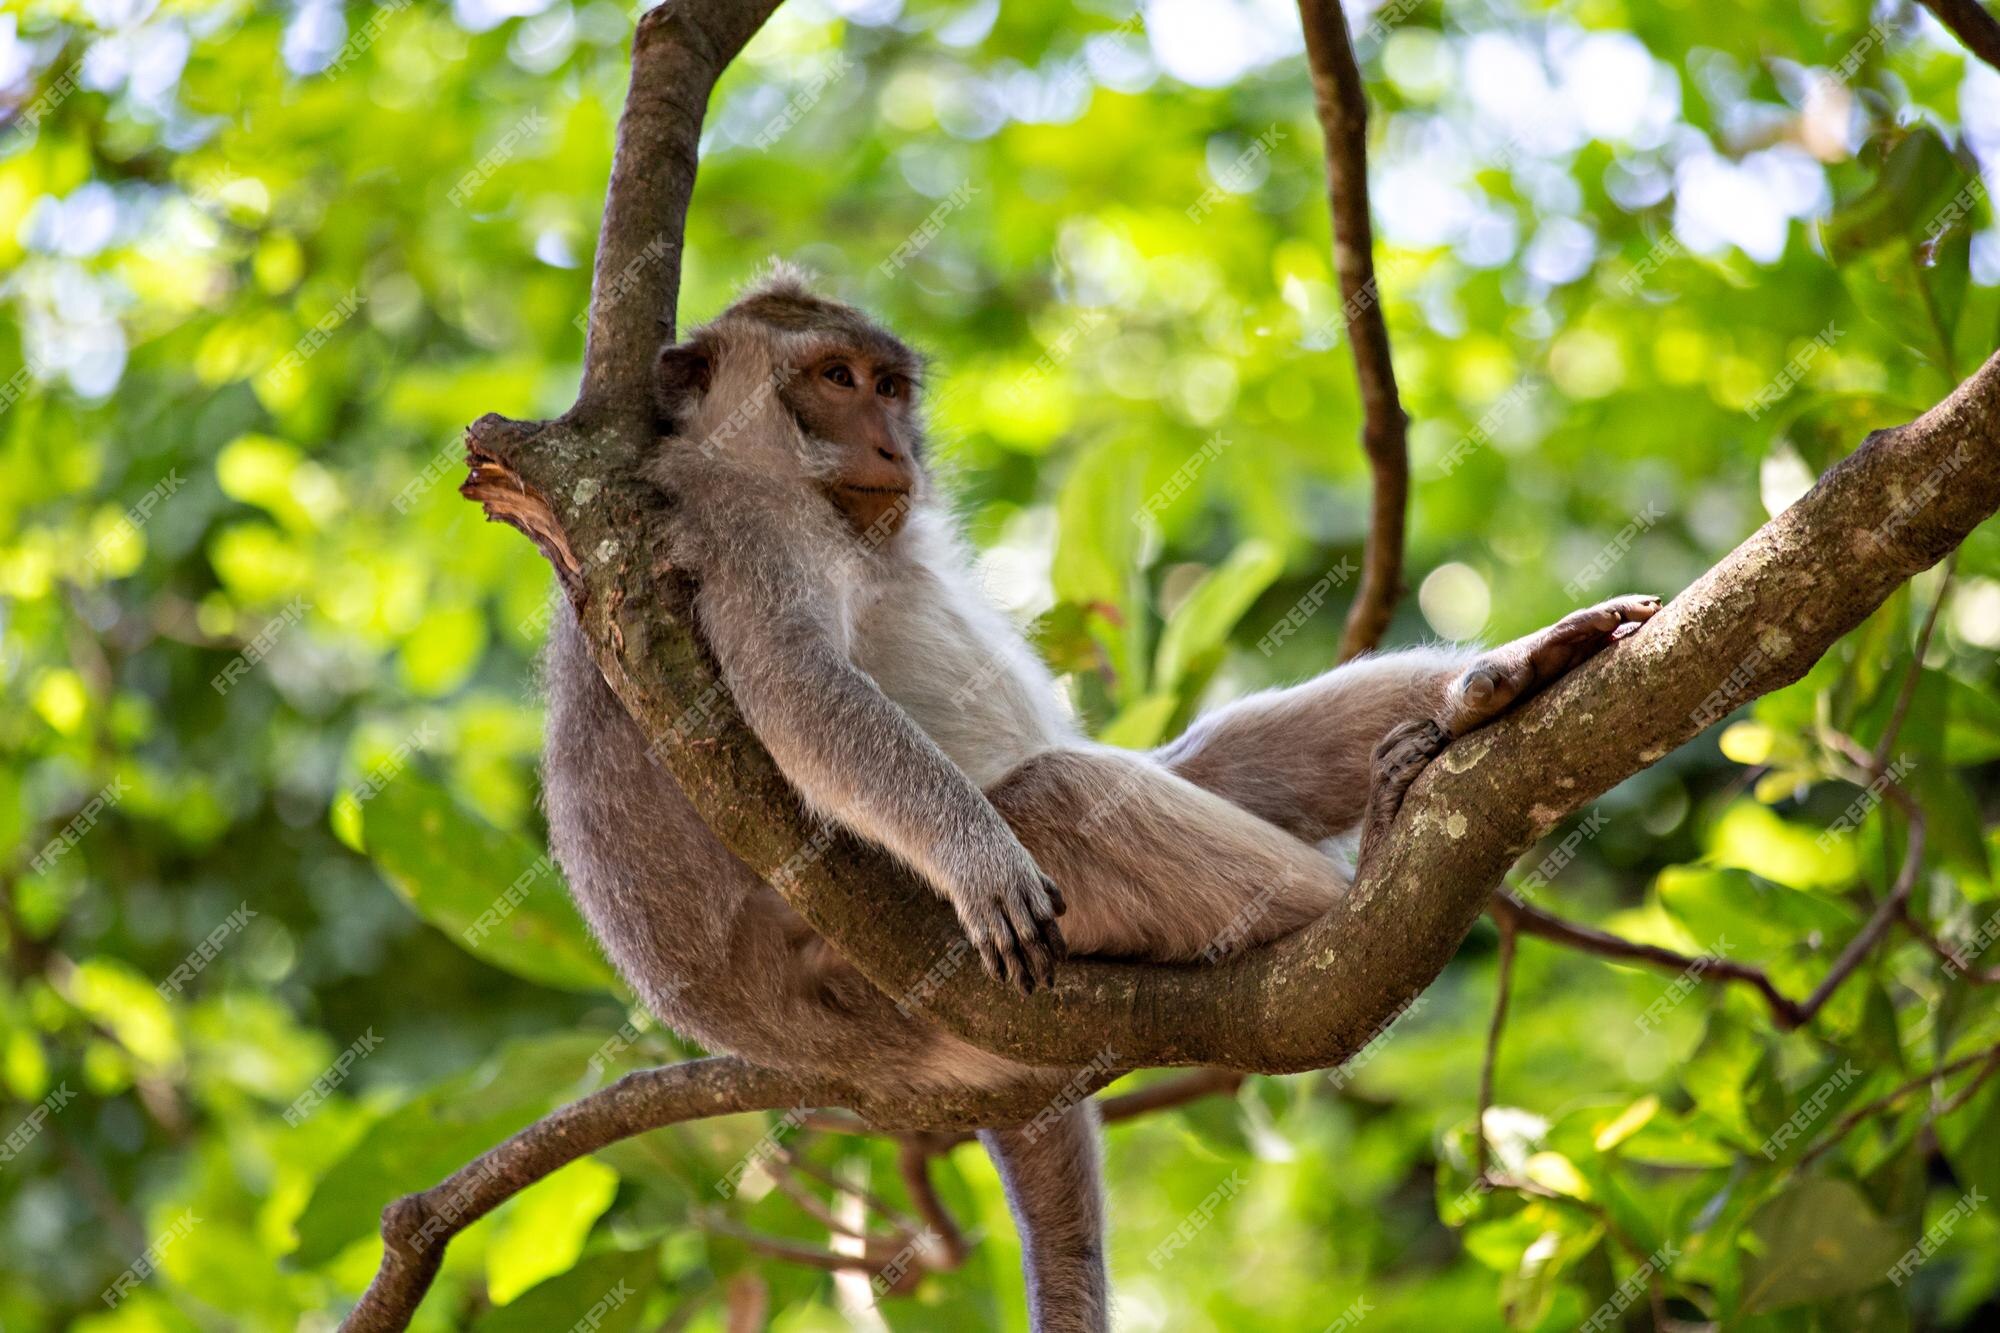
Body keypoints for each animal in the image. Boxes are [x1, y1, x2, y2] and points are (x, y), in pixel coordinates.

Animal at [544, 264, 1656, 1320]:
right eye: (832, 378)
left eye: (887, 386)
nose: (889, 445)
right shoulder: (741, 532)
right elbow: (795, 685)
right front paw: (975, 856)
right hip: (907, 973)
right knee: (1058, 791)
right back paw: (1365, 882)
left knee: (1197, 765)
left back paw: (1500, 683)